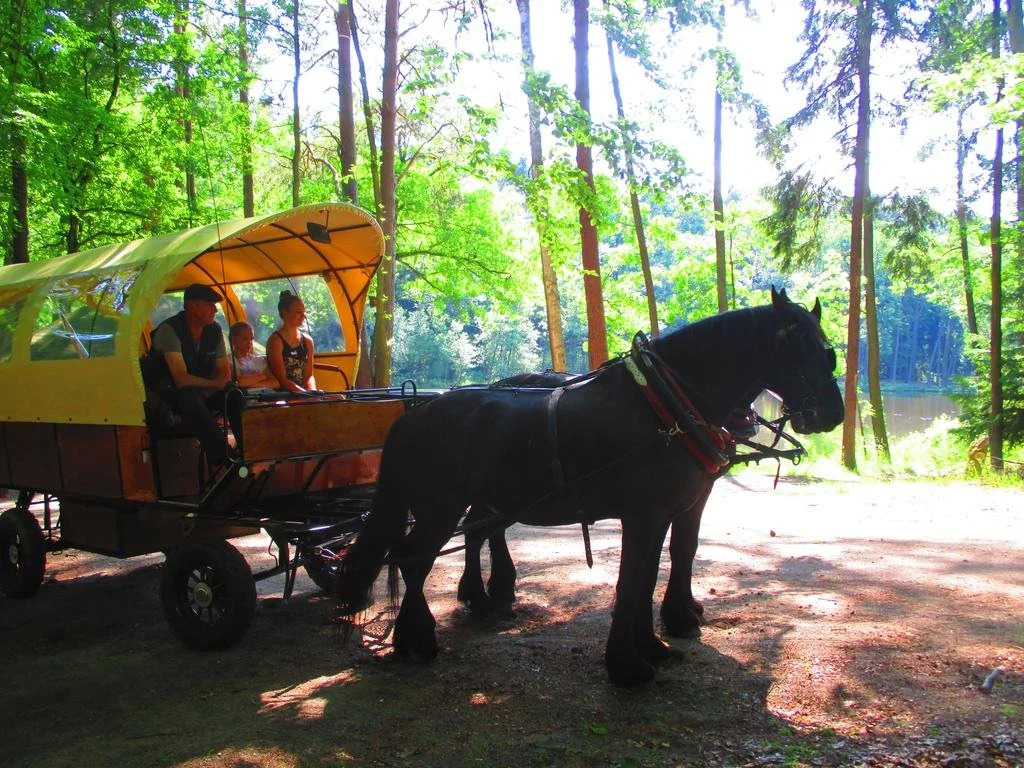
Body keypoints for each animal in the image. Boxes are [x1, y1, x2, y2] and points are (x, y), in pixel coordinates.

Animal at [338, 289, 844, 686]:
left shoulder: (670, 508)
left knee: (450, 543)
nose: (832, 413)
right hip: (440, 506)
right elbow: (632, 579)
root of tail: (413, 413)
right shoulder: (644, 514)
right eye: (796, 344)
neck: (664, 406)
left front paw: (655, 640)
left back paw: (460, 609)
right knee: (415, 558)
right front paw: (628, 664)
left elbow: (657, 568)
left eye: (827, 350)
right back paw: (421, 637)